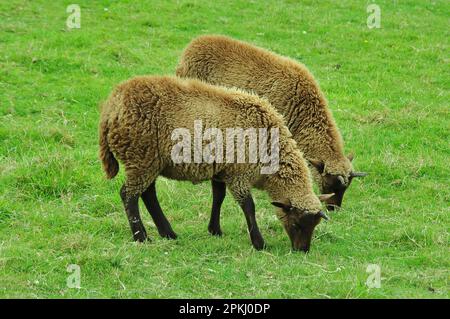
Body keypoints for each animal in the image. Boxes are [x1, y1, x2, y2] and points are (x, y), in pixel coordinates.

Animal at [98, 75, 330, 252]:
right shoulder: (239, 173)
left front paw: (215, 230)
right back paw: (141, 237)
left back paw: (168, 232)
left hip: (150, 161)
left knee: (147, 194)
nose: (302, 250)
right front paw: (259, 243)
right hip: (141, 159)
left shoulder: (222, 169)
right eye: (297, 224)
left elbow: (218, 197)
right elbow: (248, 206)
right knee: (129, 195)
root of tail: (112, 107)